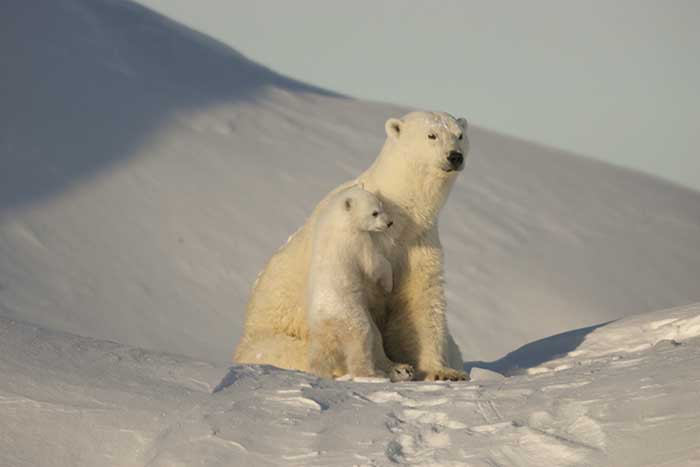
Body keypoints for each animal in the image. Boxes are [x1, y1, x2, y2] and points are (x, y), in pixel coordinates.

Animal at [235, 111, 470, 382]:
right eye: (431, 135)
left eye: (459, 135)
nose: (455, 156)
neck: (401, 216)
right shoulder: (359, 245)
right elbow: (365, 309)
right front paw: (395, 367)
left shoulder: (418, 243)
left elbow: (422, 299)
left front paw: (444, 372)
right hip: (271, 338)